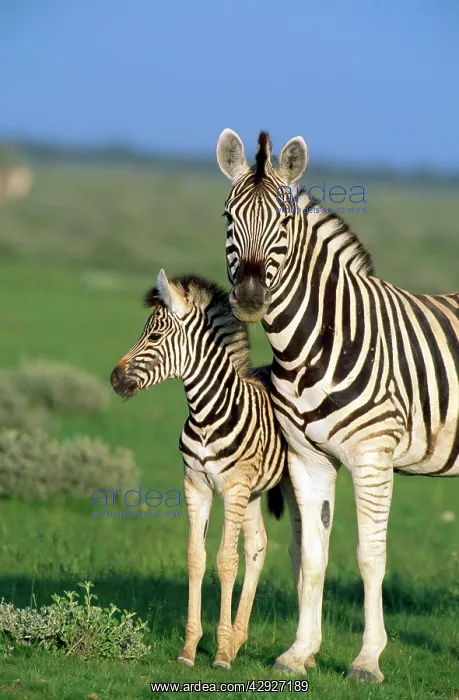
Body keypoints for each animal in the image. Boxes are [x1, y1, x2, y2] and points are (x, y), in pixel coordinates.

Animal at [110, 270, 313, 670]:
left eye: (154, 337)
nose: (114, 379)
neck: (207, 415)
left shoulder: (232, 488)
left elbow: (225, 561)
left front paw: (219, 654)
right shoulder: (196, 485)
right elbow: (197, 557)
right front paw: (191, 649)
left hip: (292, 484)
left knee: (301, 552)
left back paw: (305, 654)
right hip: (253, 492)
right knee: (257, 546)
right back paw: (239, 639)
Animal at [216, 129, 459, 682]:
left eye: (285, 223)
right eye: (227, 217)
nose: (251, 296)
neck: (314, 345)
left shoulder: (372, 459)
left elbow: (370, 556)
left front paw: (367, 660)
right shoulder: (309, 460)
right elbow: (312, 556)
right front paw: (299, 652)